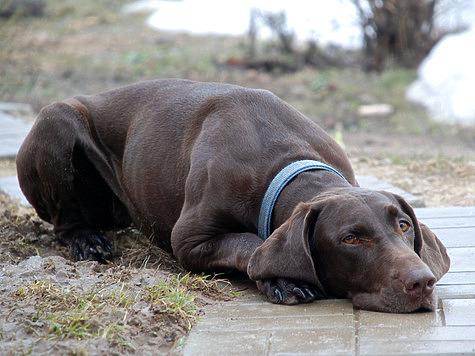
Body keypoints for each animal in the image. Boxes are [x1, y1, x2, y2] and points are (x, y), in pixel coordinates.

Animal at [16, 80, 452, 312]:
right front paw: (282, 280)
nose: (422, 282)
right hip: (56, 120)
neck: (284, 161)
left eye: (403, 226)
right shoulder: (188, 240)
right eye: (350, 238)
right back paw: (87, 240)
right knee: (65, 221)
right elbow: (251, 243)